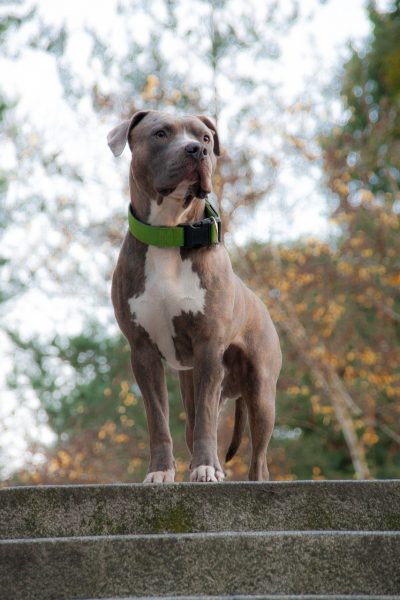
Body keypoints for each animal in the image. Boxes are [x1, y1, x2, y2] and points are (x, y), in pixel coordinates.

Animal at [107, 110, 281, 482]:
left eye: (205, 138)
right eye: (160, 133)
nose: (196, 150)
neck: (169, 234)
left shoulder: (208, 347)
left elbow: (205, 420)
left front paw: (206, 468)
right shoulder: (143, 352)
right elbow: (158, 420)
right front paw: (160, 471)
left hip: (261, 390)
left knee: (258, 455)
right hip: (191, 377)